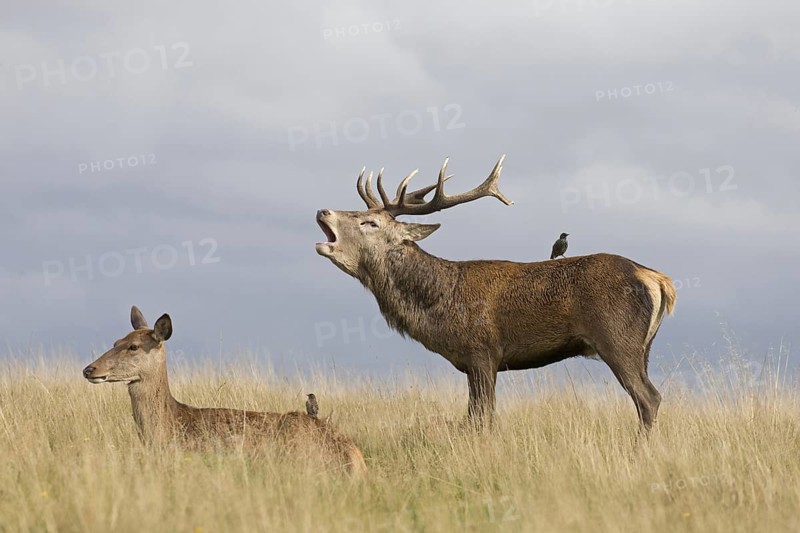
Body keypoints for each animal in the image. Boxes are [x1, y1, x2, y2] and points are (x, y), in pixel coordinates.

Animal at [315, 155, 676, 431]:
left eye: (370, 223)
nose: (323, 211)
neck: (439, 305)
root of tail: (656, 278)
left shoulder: (482, 351)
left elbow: (481, 416)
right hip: (644, 347)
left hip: (617, 338)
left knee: (648, 397)